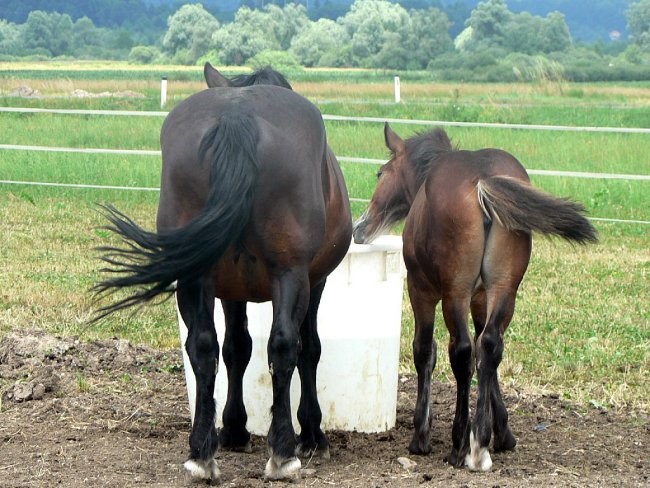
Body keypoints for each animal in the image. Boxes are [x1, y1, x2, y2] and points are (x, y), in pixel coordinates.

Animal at [92, 66, 350, 482]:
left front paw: (232, 428)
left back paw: (201, 452)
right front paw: (312, 433)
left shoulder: (230, 291)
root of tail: (236, 116)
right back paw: (283, 452)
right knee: (283, 345)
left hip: (196, 277)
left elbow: (235, 349)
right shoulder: (315, 280)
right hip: (291, 275)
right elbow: (307, 349)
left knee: (203, 346)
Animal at [352, 124, 596, 470]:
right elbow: (487, 357)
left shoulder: (421, 289)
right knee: (490, 345)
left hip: (454, 293)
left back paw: (461, 444)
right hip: (505, 288)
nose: (360, 227)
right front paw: (502, 432)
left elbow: (425, 351)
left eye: (380, 173)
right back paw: (480, 439)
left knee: (463, 351)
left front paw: (422, 436)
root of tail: (483, 180)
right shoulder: (482, 298)